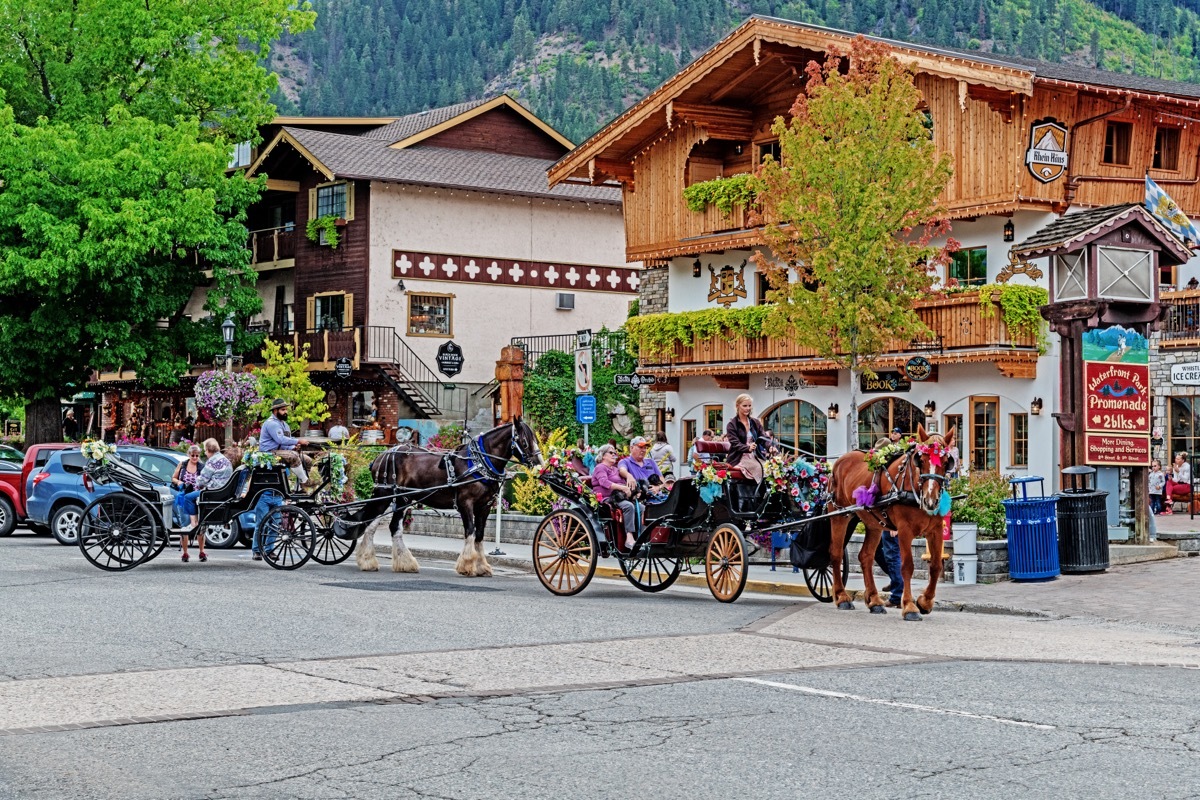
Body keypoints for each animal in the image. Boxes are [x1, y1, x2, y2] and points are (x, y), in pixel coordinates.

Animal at [350, 419, 540, 575]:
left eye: (536, 439)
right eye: (524, 441)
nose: (539, 464)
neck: (479, 462)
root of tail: (381, 456)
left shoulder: (484, 506)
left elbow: (479, 534)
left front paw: (481, 566)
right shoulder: (465, 503)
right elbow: (470, 531)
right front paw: (467, 565)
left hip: (403, 498)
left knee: (392, 527)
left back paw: (404, 563)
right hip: (385, 494)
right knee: (371, 523)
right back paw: (368, 561)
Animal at [825, 424, 955, 618]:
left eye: (947, 462)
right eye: (921, 460)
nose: (930, 501)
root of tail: (838, 462)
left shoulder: (936, 529)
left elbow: (936, 566)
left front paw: (925, 602)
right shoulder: (904, 529)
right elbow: (906, 566)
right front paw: (909, 606)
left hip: (873, 523)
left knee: (866, 556)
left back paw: (874, 601)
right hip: (839, 515)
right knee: (836, 553)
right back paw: (842, 597)